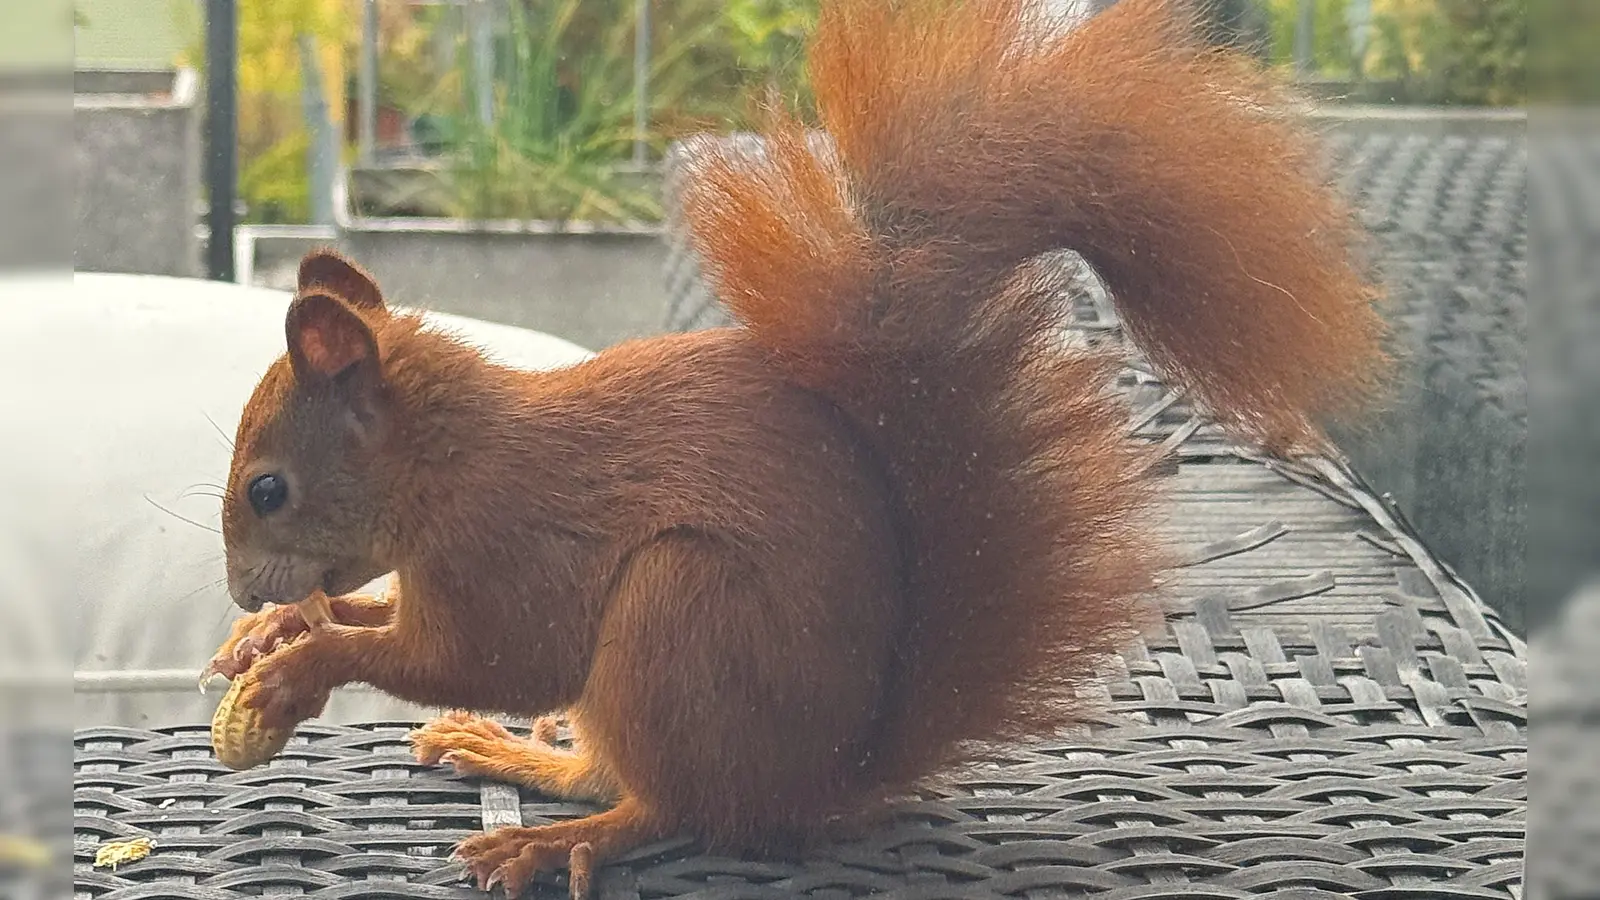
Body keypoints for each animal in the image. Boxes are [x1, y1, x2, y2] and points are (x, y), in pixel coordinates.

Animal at [203, 0, 1388, 895]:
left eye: (267, 490)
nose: (236, 590)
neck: (441, 462)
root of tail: (825, 774)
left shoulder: (506, 547)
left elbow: (487, 657)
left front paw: (305, 662)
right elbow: (387, 614)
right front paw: (276, 632)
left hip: (683, 616)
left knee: (677, 808)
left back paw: (565, 839)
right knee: (626, 777)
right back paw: (516, 757)